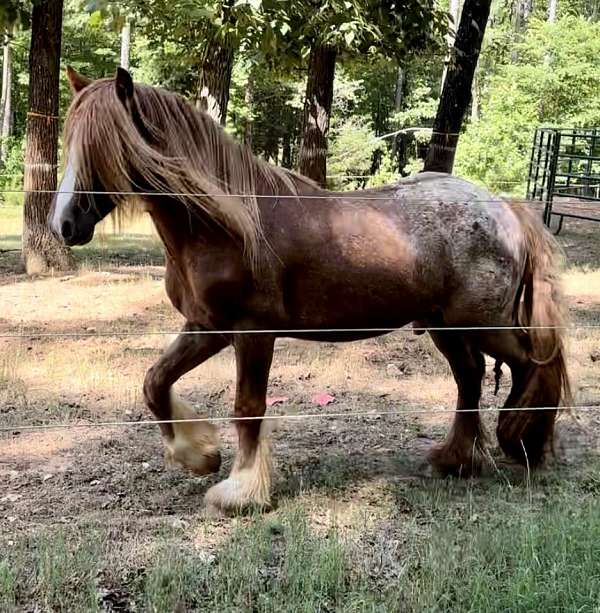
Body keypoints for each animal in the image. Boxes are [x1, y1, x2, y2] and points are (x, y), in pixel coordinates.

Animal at [49, 69, 568, 512]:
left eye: (103, 147)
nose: (64, 224)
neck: (224, 225)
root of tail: (503, 208)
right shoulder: (206, 327)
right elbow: (155, 382)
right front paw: (199, 455)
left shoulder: (253, 334)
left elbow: (247, 408)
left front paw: (241, 491)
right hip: (446, 327)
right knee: (471, 377)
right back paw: (455, 459)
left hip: (482, 323)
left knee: (530, 365)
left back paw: (526, 444)